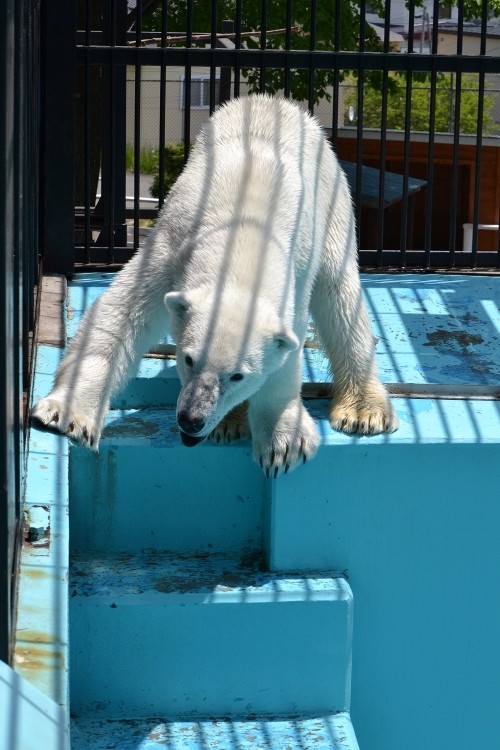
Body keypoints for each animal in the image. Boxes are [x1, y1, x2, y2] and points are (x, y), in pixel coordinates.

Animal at [32, 95, 398, 476]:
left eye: (238, 376)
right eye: (188, 358)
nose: (191, 420)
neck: (244, 239)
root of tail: (274, 101)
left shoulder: (294, 275)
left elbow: (289, 351)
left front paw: (283, 441)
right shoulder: (173, 246)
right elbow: (121, 313)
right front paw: (65, 414)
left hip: (332, 201)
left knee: (339, 294)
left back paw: (363, 412)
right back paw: (229, 424)